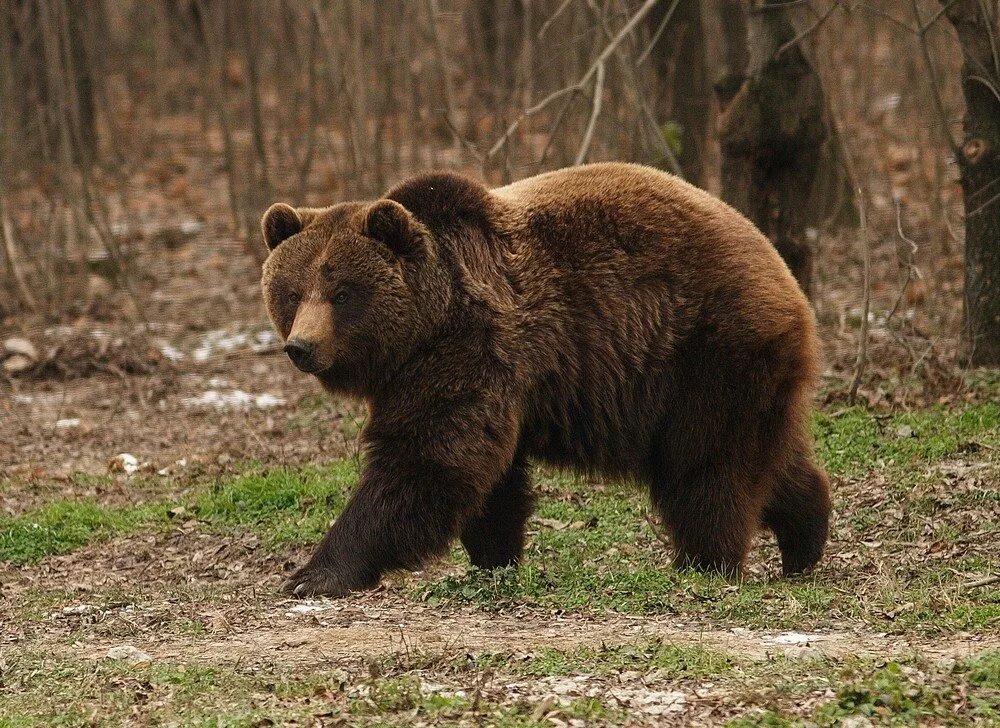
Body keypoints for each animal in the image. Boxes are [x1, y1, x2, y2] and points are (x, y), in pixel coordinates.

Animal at [258, 161, 828, 596]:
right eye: (292, 291)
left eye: (343, 293)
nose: (301, 346)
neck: (426, 323)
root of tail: (782, 273)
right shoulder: (478, 374)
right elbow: (487, 476)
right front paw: (494, 555)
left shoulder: (470, 347)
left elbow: (427, 459)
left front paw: (314, 573)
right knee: (772, 459)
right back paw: (806, 536)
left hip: (707, 351)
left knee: (707, 465)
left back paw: (705, 563)